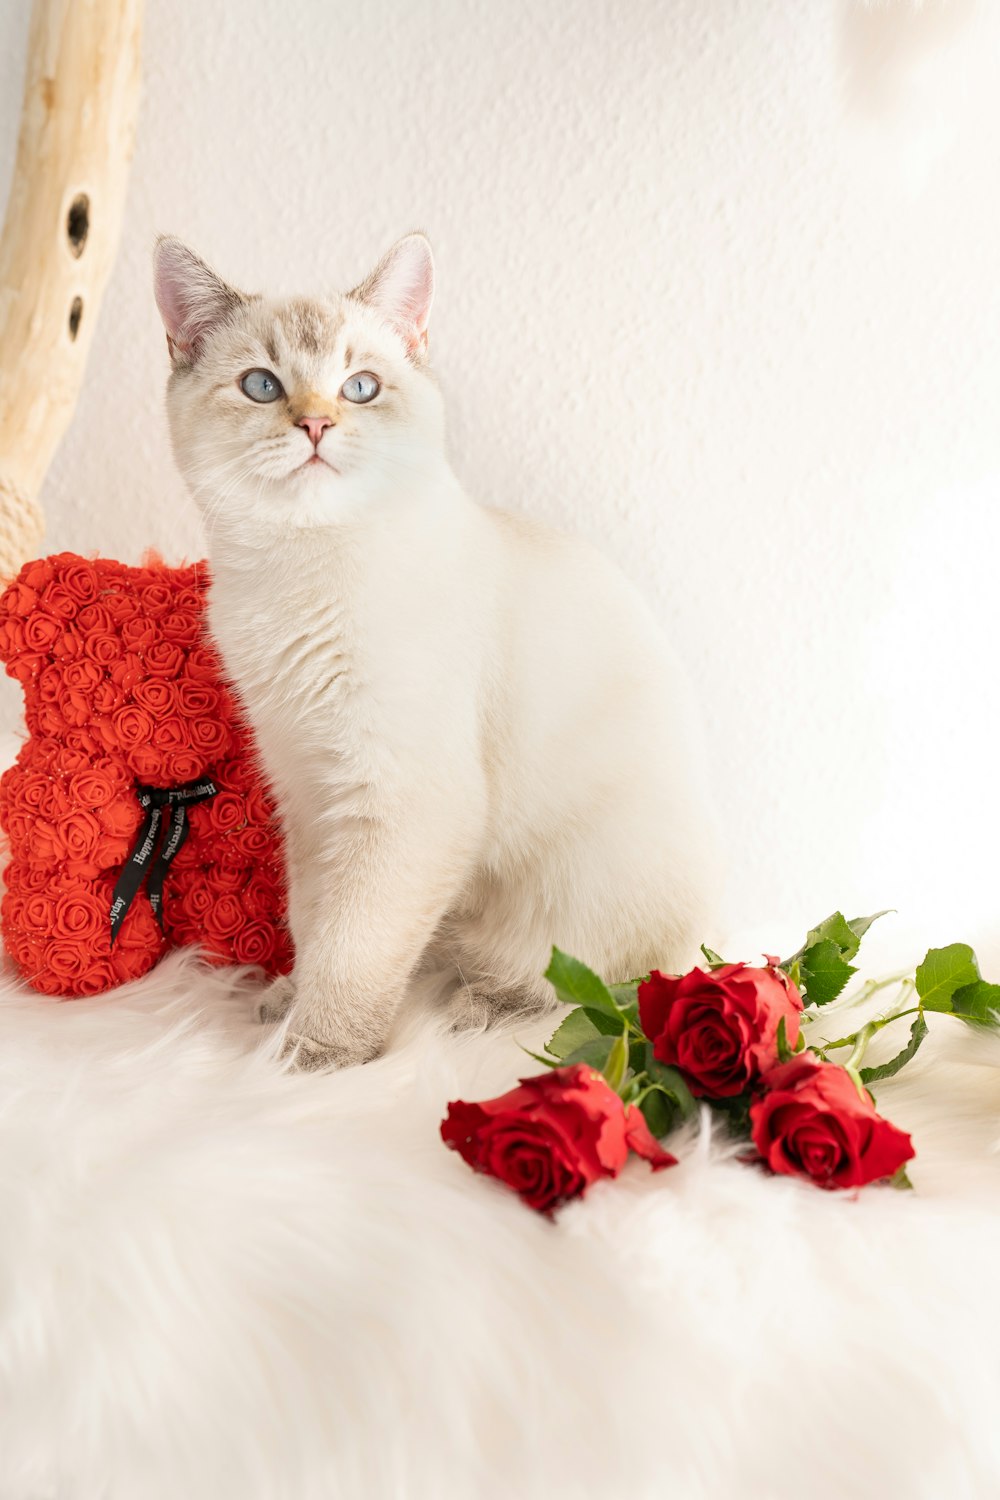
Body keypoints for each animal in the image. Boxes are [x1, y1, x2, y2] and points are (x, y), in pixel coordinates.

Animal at [154, 231, 719, 1068]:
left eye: (359, 388)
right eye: (262, 386)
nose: (316, 425)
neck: (294, 571)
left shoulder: (401, 801)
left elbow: (354, 950)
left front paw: (311, 1057)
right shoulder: (311, 794)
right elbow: (315, 922)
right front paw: (291, 1009)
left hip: (577, 895)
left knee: (584, 987)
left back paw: (478, 1009)